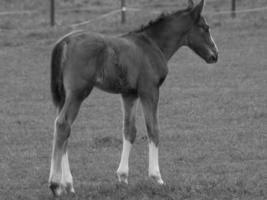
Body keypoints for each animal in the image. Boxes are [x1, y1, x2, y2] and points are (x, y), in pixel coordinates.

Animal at [49, 0, 219, 196]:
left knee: (63, 128)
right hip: (78, 92)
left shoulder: (129, 94)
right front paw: (156, 177)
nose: (215, 55)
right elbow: (153, 129)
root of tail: (65, 41)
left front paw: (123, 176)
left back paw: (68, 184)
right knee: (63, 125)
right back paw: (56, 185)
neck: (152, 45)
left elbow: (129, 130)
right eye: (205, 28)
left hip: (64, 96)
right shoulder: (149, 91)